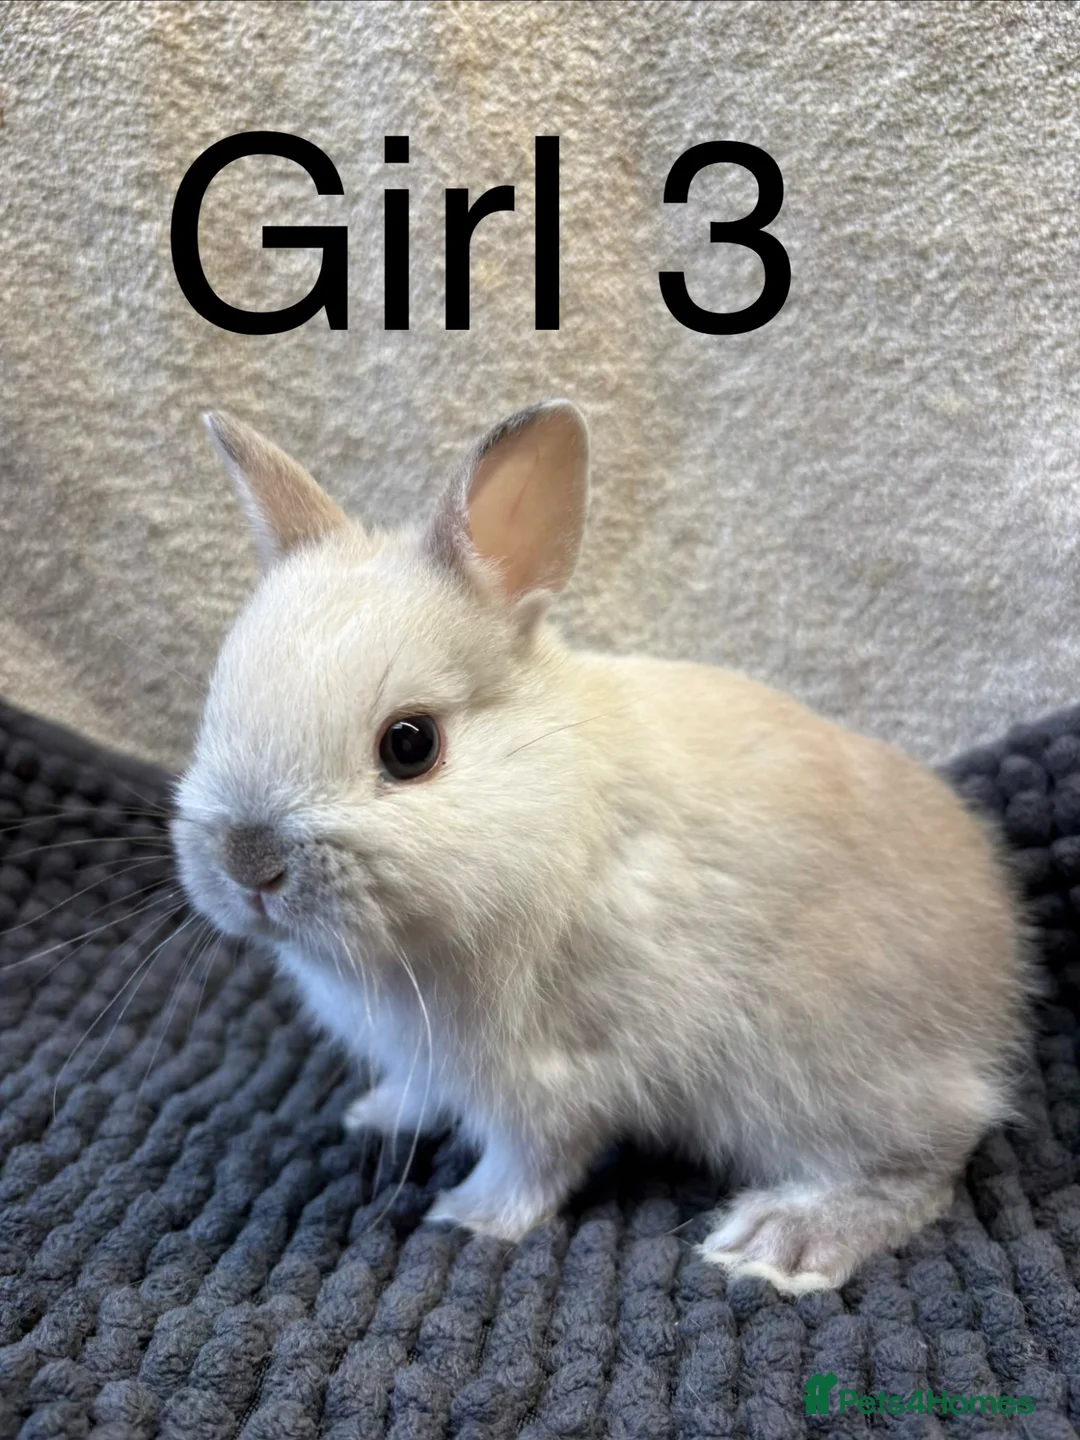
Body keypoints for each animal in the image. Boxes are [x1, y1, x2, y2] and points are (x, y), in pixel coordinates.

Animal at [171, 399, 1032, 1295]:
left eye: (410, 745)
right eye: (215, 705)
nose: (249, 865)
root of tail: (999, 980)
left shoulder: (553, 1077)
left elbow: (532, 1162)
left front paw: (468, 1215)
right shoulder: (432, 1059)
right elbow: (420, 1092)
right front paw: (376, 1115)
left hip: (822, 1069)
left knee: (923, 1162)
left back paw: (781, 1241)